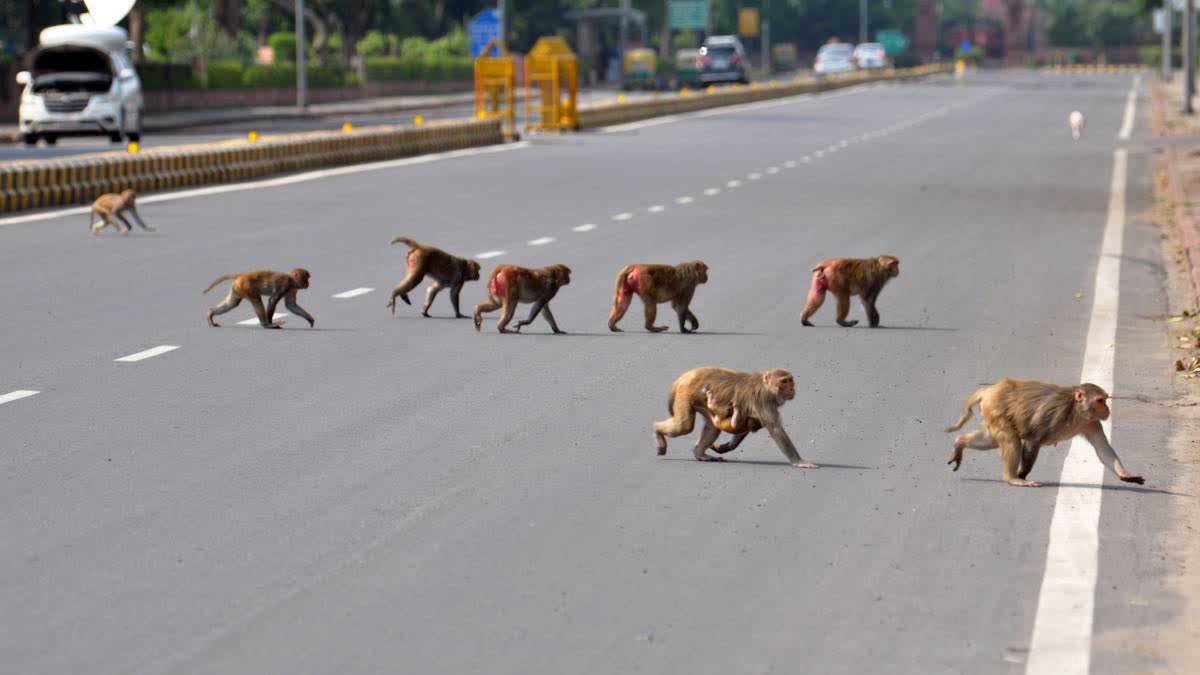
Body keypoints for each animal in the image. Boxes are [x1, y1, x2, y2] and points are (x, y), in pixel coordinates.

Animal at [657, 365, 816, 466]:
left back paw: (700, 453)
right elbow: (776, 429)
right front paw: (799, 462)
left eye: (790, 380)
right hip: (685, 393)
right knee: (685, 426)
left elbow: (742, 428)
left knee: (712, 426)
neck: (766, 387)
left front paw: (724, 447)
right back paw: (657, 431)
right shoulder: (763, 400)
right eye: (784, 381)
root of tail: (684, 376)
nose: (792, 389)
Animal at [945, 379, 1142, 482]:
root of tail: (989, 390)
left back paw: (960, 443)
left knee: (991, 440)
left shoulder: (1091, 423)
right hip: (996, 408)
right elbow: (1033, 440)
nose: (1107, 409)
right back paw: (1012, 478)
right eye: (1100, 401)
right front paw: (1022, 474)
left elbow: (1103, 449)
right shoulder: (1054, 414)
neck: (1076, 411)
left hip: (992, 412)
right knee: (1011, 440)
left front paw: (1125, 474)